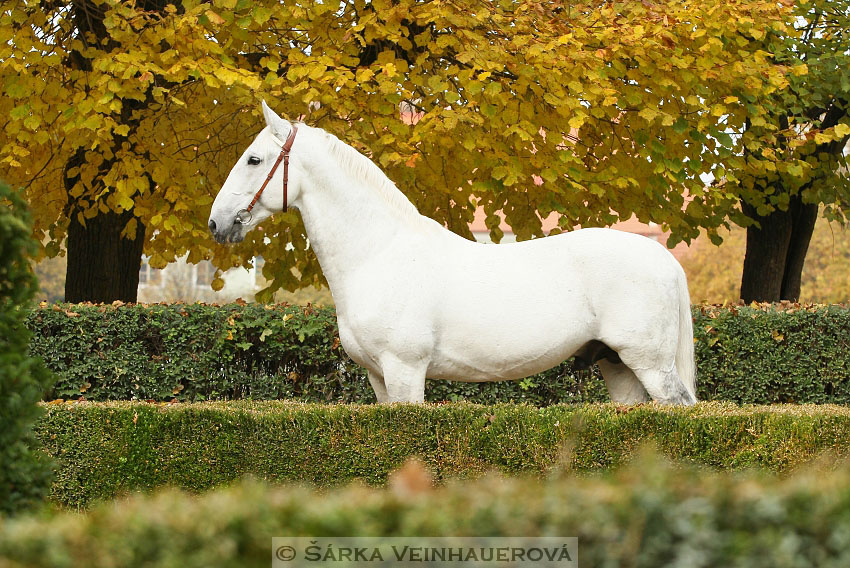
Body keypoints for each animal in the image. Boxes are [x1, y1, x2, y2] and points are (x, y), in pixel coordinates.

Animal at [207, 101, 696, 404]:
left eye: (253, 159)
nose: (217, 222)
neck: (378, 254)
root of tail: (665, 261)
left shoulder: (404, 370)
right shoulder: (378, 376)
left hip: (649, 364)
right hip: (618, 366)